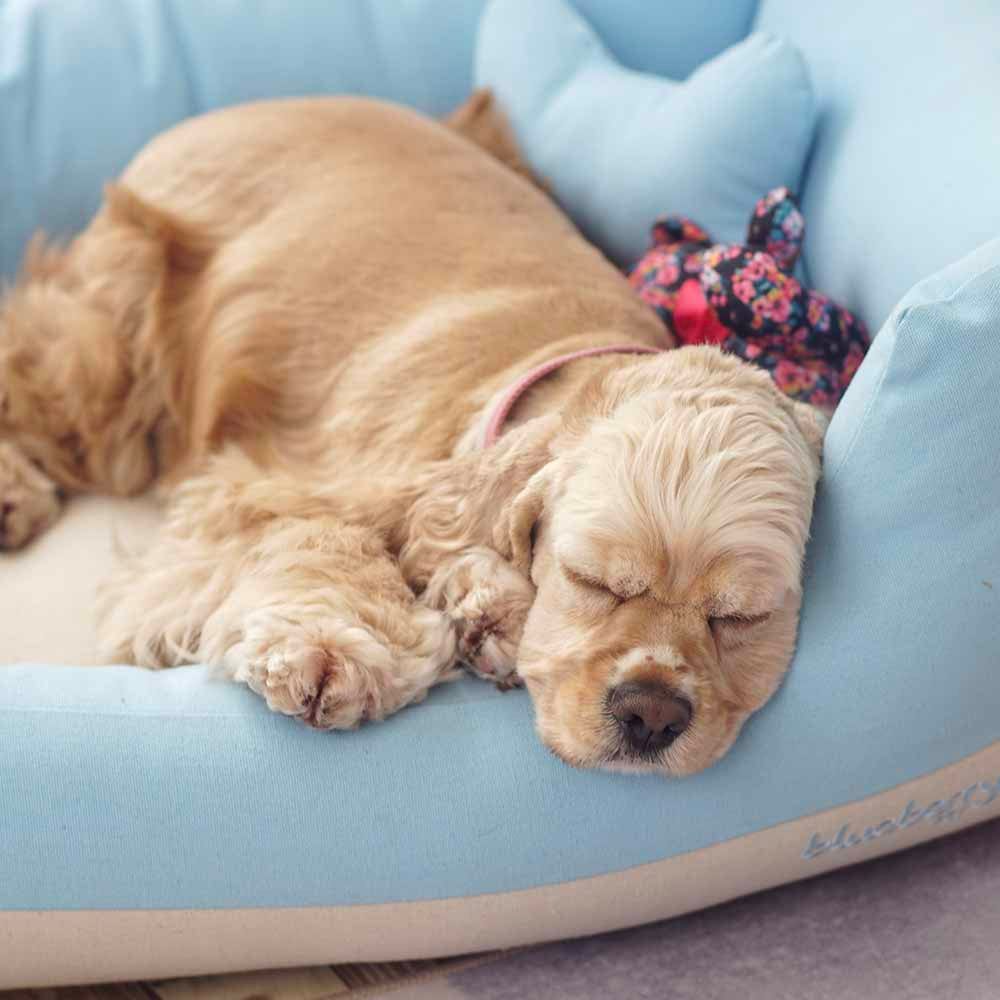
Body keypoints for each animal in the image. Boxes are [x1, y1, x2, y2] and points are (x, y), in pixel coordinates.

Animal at [0, 92, 828, 772]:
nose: (650, 713)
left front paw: (486, 614)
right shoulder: (260, 489)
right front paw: (335, 651)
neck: (553, 366)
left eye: (740, 619)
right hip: (113, 354)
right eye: (590, 582)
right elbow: (319, 537)